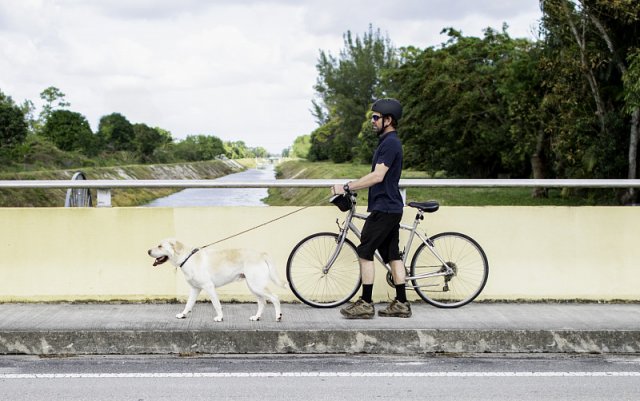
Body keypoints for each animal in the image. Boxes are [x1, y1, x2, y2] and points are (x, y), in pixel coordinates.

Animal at [149, 238, 284, 322]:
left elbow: (216, 304)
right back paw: (256, 317)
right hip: (253, 286)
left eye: (160, 246)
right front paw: (183, 314)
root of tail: (261, 254)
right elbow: (189, 304)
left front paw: (220, 317)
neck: (187, 258)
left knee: (275, 297)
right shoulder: (195, 289)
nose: (148, 251)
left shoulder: (209, 286)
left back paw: (278, 316)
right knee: (263, 302)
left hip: (257, 285)